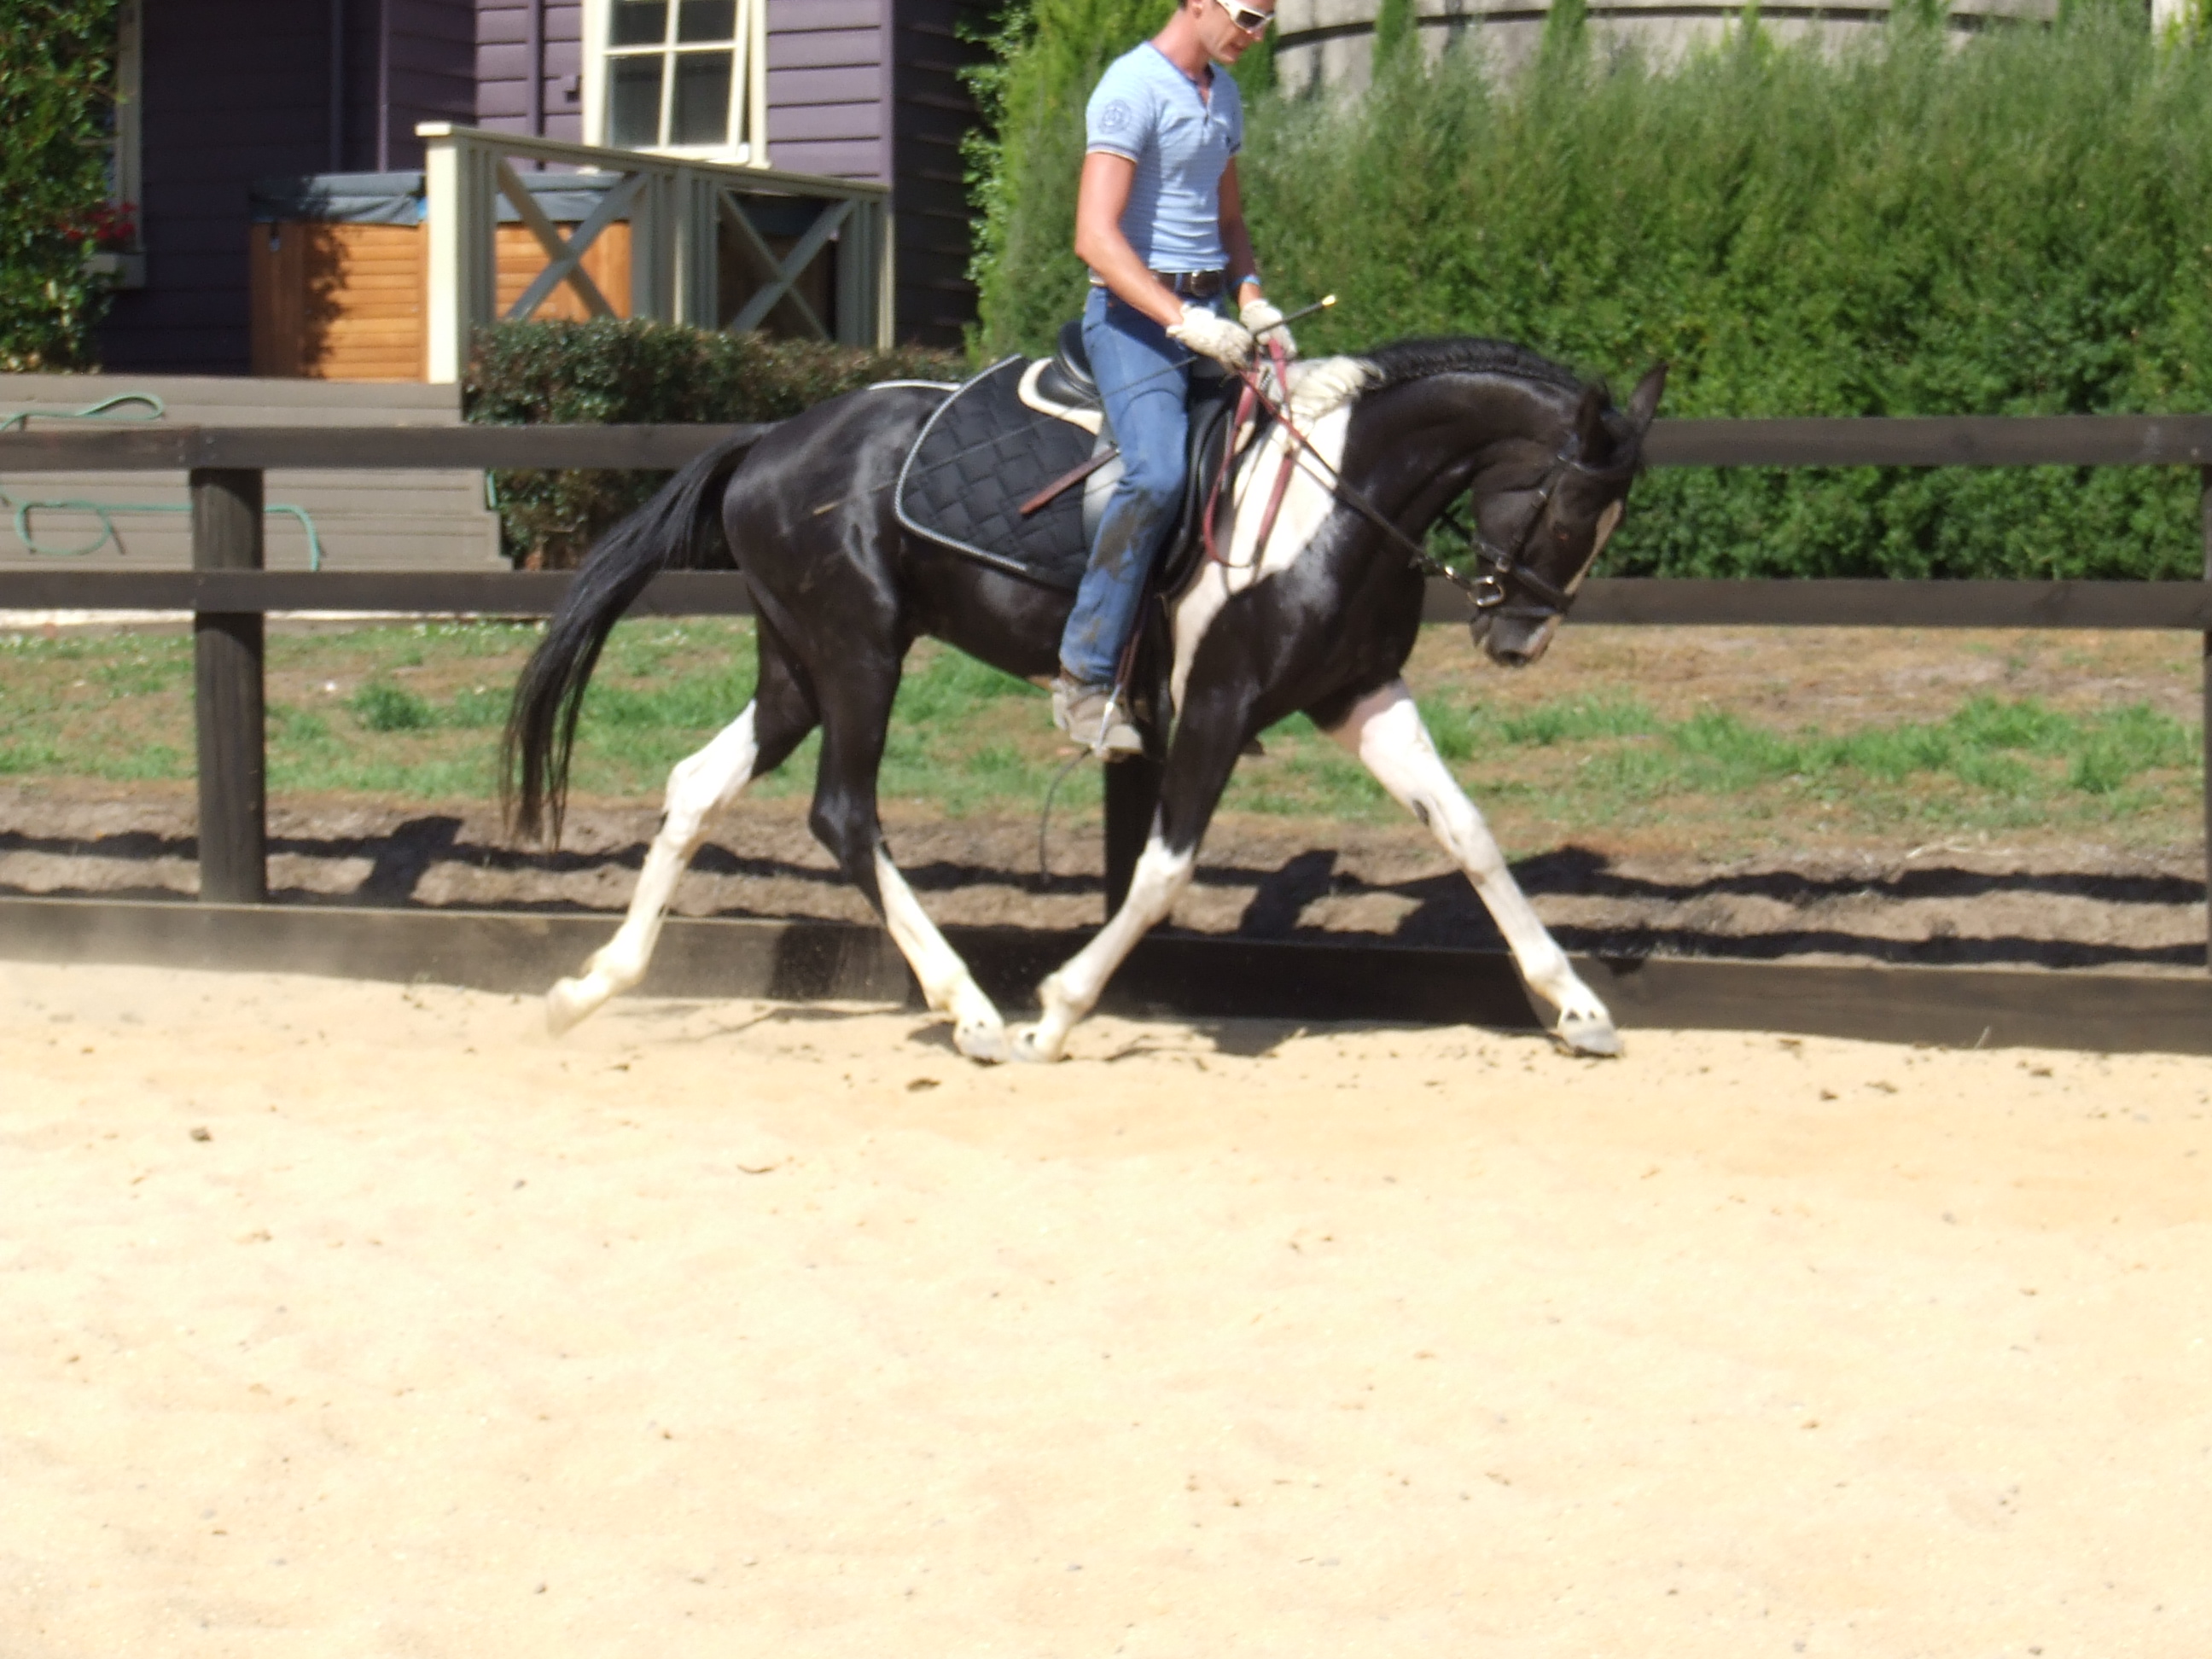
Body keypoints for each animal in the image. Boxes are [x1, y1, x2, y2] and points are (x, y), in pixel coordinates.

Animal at [503, 336, 1666, 1063]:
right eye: (1572, 511)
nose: (1520, 640)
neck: (1336, 497)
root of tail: (770, 441)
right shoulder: (1217, 705)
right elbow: (1162, 872)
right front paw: (1053, 1016)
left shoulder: (1359, 694)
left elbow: (1467, 833)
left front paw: (1575, 1005)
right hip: (858, 656)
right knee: (844, 814)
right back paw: (972, 1012)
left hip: (798, 666)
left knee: (699, 785)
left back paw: (589, 988)